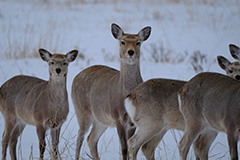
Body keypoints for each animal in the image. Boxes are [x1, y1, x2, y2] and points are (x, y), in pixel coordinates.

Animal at [70, 23, 151, 159]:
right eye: (122, 41)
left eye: (138, 42)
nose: (130, 52)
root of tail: (75, 77)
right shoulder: (118, 117)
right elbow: (124, 149)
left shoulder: (133, 122)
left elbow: (132, 148)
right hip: (82, 111)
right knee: (80, 137)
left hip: (101, 120)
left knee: (91, 139)